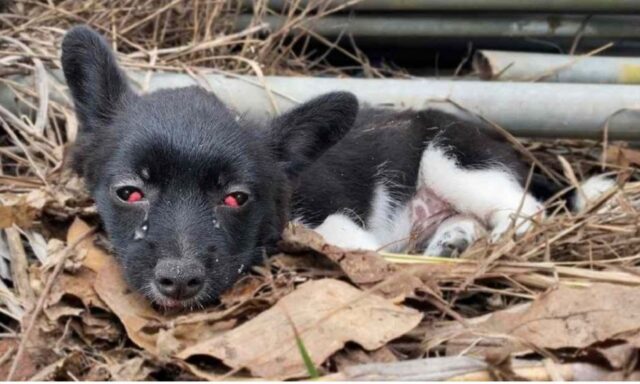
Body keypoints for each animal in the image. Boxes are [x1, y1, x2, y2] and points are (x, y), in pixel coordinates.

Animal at [61, 25, 616, 308]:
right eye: (129, 192)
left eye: (236, 198)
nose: (178, 281)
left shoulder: (332, 218)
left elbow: (347, 240)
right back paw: (453, 241)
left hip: (453, 157)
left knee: (527, 210)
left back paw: (496, 243)